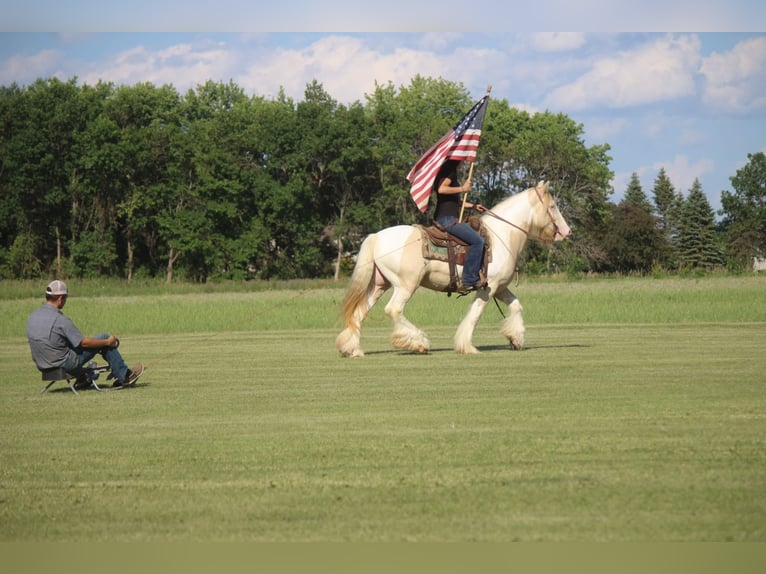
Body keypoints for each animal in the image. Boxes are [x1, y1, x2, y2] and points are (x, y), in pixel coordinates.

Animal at [334, 182, 568, 358]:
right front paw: (467, 346)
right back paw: (419, 343)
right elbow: (474, 315)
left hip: (379, 284)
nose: (566, 231)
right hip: (405, 285)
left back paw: (352, 349)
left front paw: (516, 339)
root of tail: (376, 237)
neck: (501, 235)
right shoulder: (488, 287)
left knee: (359, 312)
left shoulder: (501, 288)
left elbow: (517, 306)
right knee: (393, 310)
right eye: (553, 206)